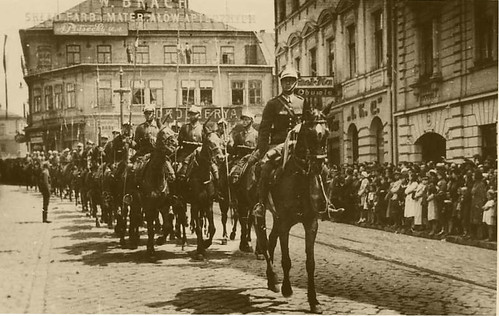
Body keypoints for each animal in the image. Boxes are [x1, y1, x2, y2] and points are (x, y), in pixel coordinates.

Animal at [252, 103, 330, 314]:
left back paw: (271, 281)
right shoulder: (286, 223)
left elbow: (310, 263)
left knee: (271, 241)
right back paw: (273, 277)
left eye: (327, 133)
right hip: (256, 211)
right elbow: (286, 259)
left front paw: (314, 301)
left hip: (277, 218)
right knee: (263, 241)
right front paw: (287, 289)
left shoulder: (311, 223)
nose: (318, 165)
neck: (299, 180)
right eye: (309, 133)